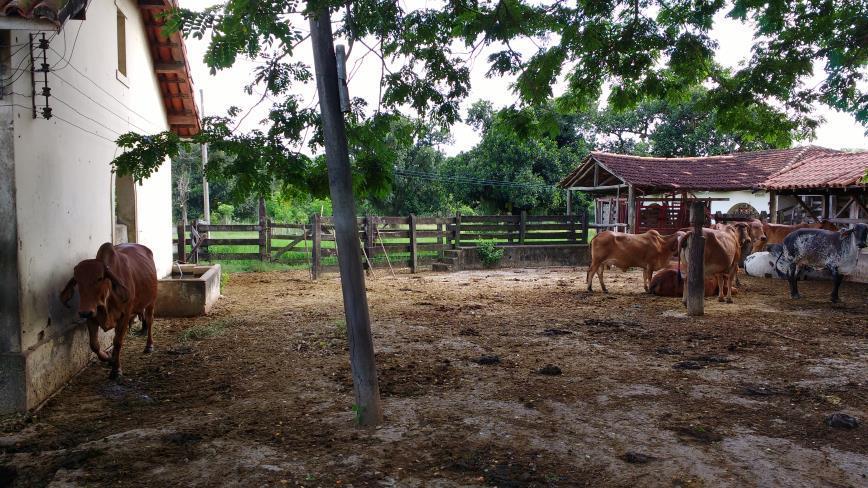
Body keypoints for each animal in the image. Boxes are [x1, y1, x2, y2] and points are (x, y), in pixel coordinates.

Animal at [59, 242, 158, 380]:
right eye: (77, 280)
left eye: (100, 278)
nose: (84, 312)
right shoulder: (91, 317)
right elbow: (94, 345)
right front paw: (108, 358)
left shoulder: (124, 316)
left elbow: (117, 342)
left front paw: (116, 370)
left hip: (151, 301)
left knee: (149, 321)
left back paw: (149, 345)